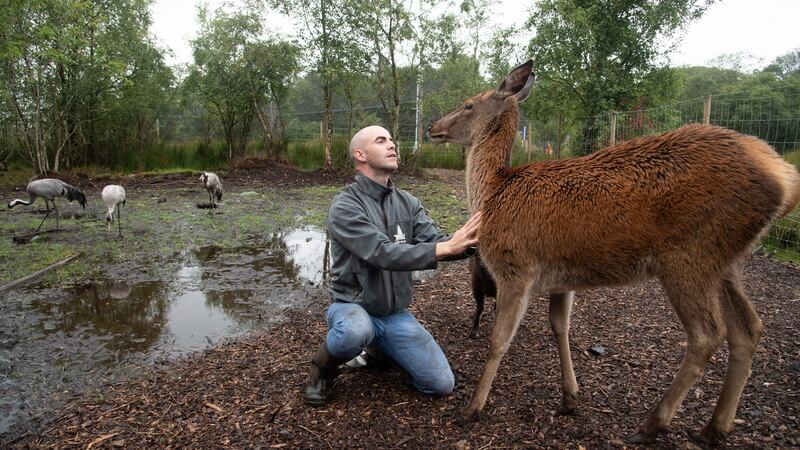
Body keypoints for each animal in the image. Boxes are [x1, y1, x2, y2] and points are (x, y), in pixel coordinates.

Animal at [427, 60, 800, 445]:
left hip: (690, 255)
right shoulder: (561, 278)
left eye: (469, 104)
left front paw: (472, 408)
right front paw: (570, 397)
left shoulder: (516, 267)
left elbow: (499, 340)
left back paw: (652, 425)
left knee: (707, 334)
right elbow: (560, 328)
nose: (432, 128)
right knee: (748, 328)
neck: (493, 192)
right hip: (725, 261)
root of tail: (786, 177)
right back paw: (714, 428)